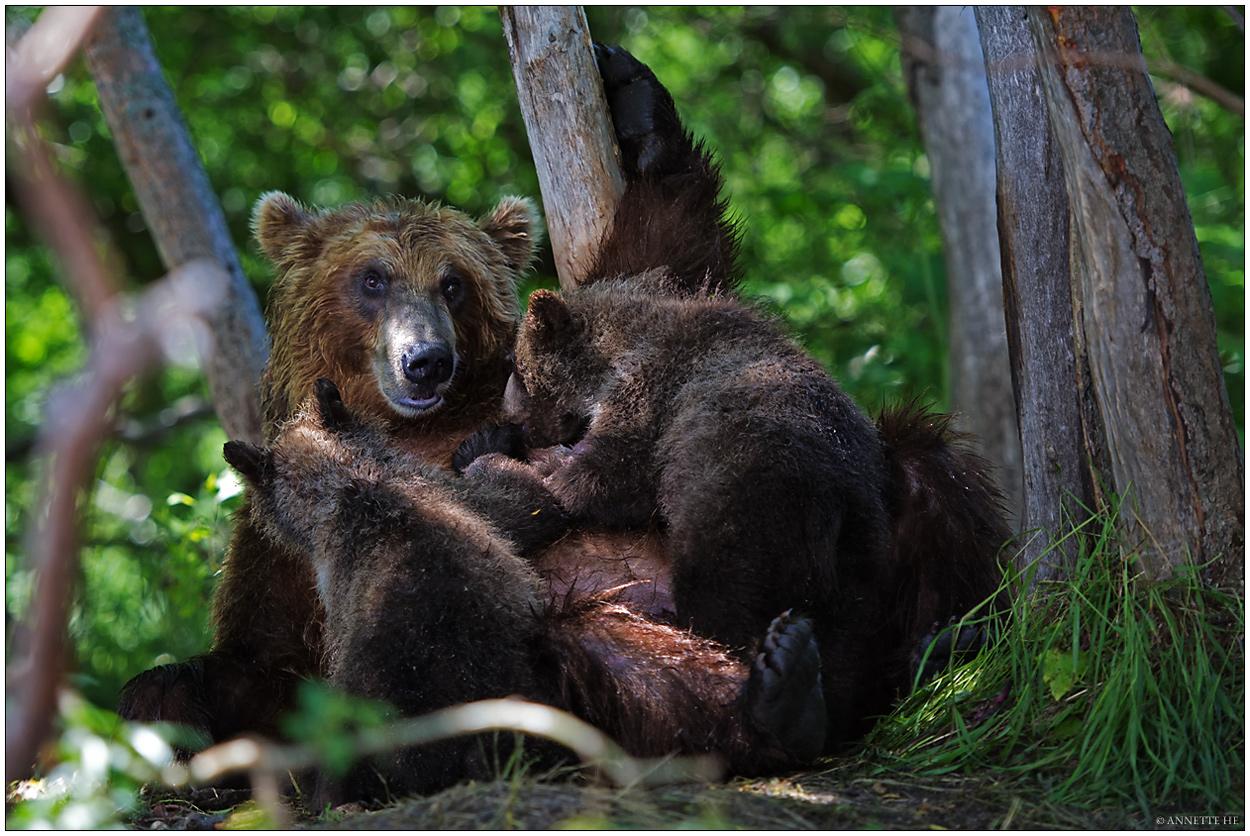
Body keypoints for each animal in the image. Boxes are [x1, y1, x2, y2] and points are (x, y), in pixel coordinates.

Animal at [119, 44, 1005, 794]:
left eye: (453, 283)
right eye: (372, 279)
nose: (426, 361)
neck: (413, 428)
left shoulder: (617, 329)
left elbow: (667, 258)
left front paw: (638, 106)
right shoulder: (275, 542)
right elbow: (270, 658)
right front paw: (172, 700)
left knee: (928, 474)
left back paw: (932, 642)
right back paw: (790, 694)